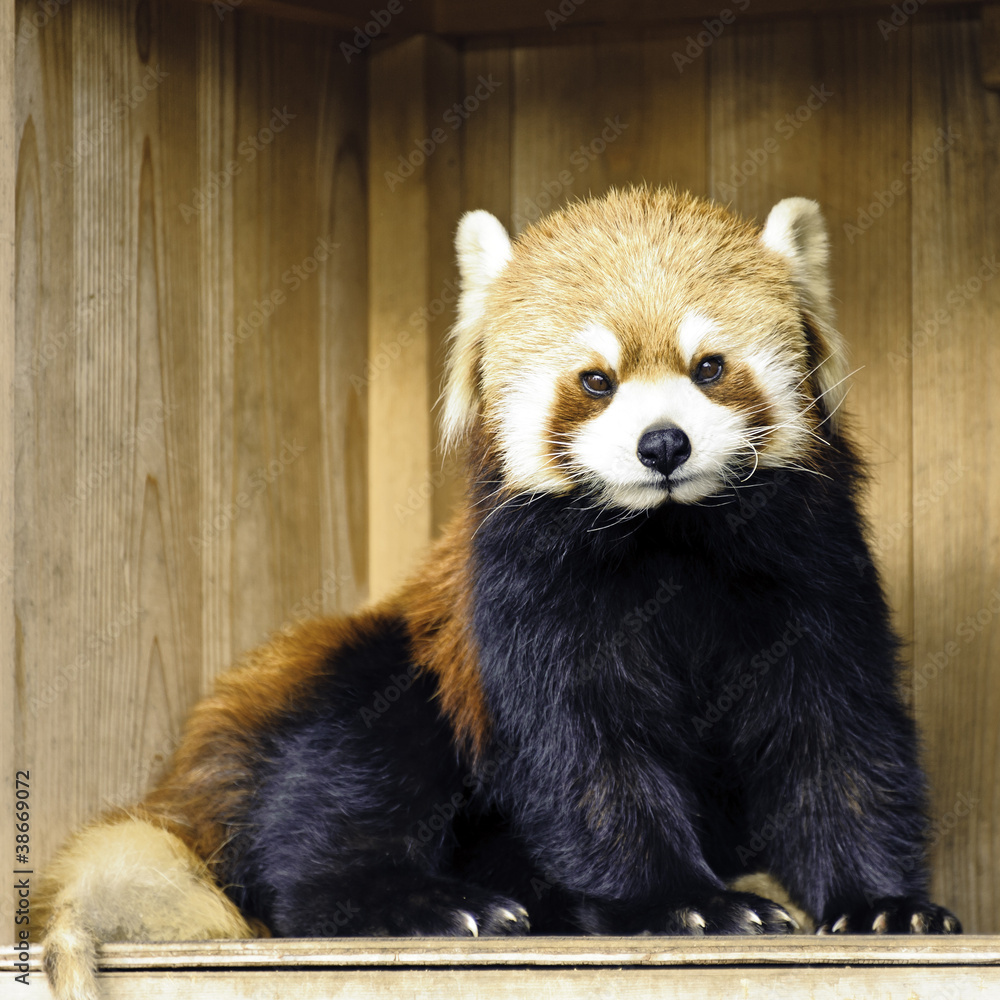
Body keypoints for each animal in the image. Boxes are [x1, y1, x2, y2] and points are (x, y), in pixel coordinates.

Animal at [40, 187, 960, 1000]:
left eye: (710, 368)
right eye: (596, 381)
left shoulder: (815, 580)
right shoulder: (524, 605)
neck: (667, 541)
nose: (663, 443)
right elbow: (589, 759)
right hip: (372, 675)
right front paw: (686, 905)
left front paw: (881, 905)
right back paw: (433, 905)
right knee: (345, 787)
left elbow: (839, 742)